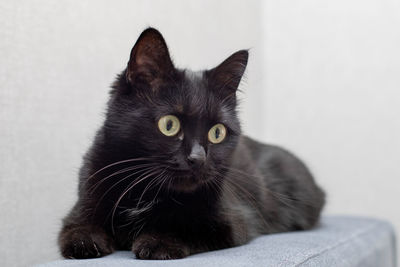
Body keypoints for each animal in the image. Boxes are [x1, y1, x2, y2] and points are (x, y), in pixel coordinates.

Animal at [58, 28, 324, 260]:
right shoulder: (86, 194)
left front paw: (159, 241)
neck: (145, 189)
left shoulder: (233, 221)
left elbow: (192, 226)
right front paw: (86, 240)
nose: (198, 158)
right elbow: (74, 228)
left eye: (217, 132)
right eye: (169, 124)